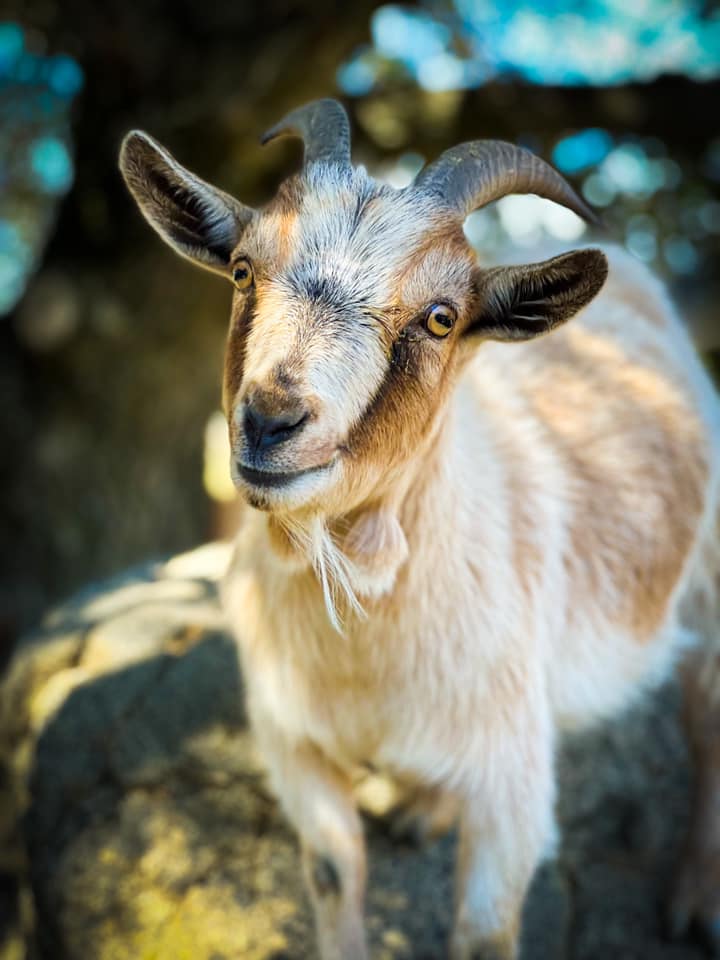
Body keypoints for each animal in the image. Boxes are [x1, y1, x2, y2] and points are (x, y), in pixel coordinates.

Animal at [119, 97, 720, 960]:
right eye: (242, 270)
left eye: (441, 318)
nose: (270, 421)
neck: (366, 645)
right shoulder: (292, 741)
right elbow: (334, 876)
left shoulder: (512, 783)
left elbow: (486, 932)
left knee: (706, 726)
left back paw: (695, 901)